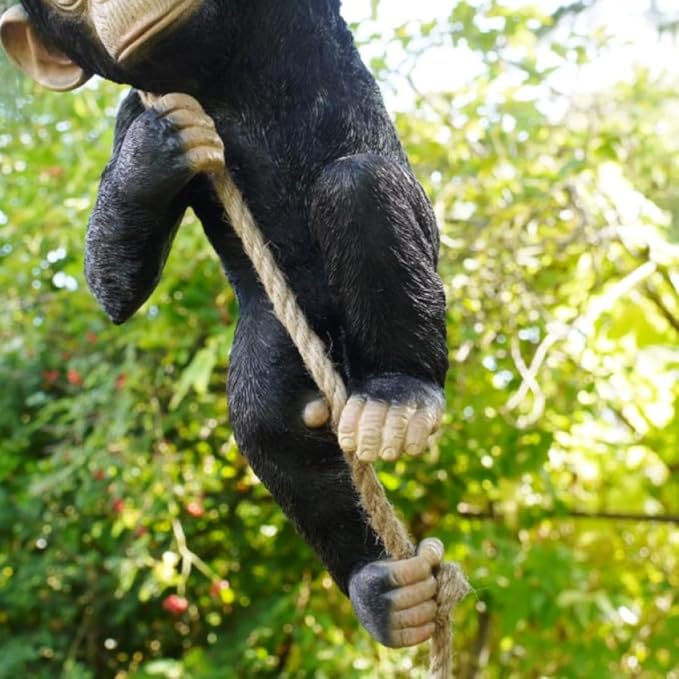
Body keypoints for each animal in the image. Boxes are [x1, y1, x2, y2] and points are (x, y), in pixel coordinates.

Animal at [1, 0, 449, 648]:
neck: (219, 70)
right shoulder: (135, 110)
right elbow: (114, 289)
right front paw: (155, 152)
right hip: (275, 332)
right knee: (269, 429)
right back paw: (384, 591)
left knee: (360, 184)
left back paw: (400, 396)